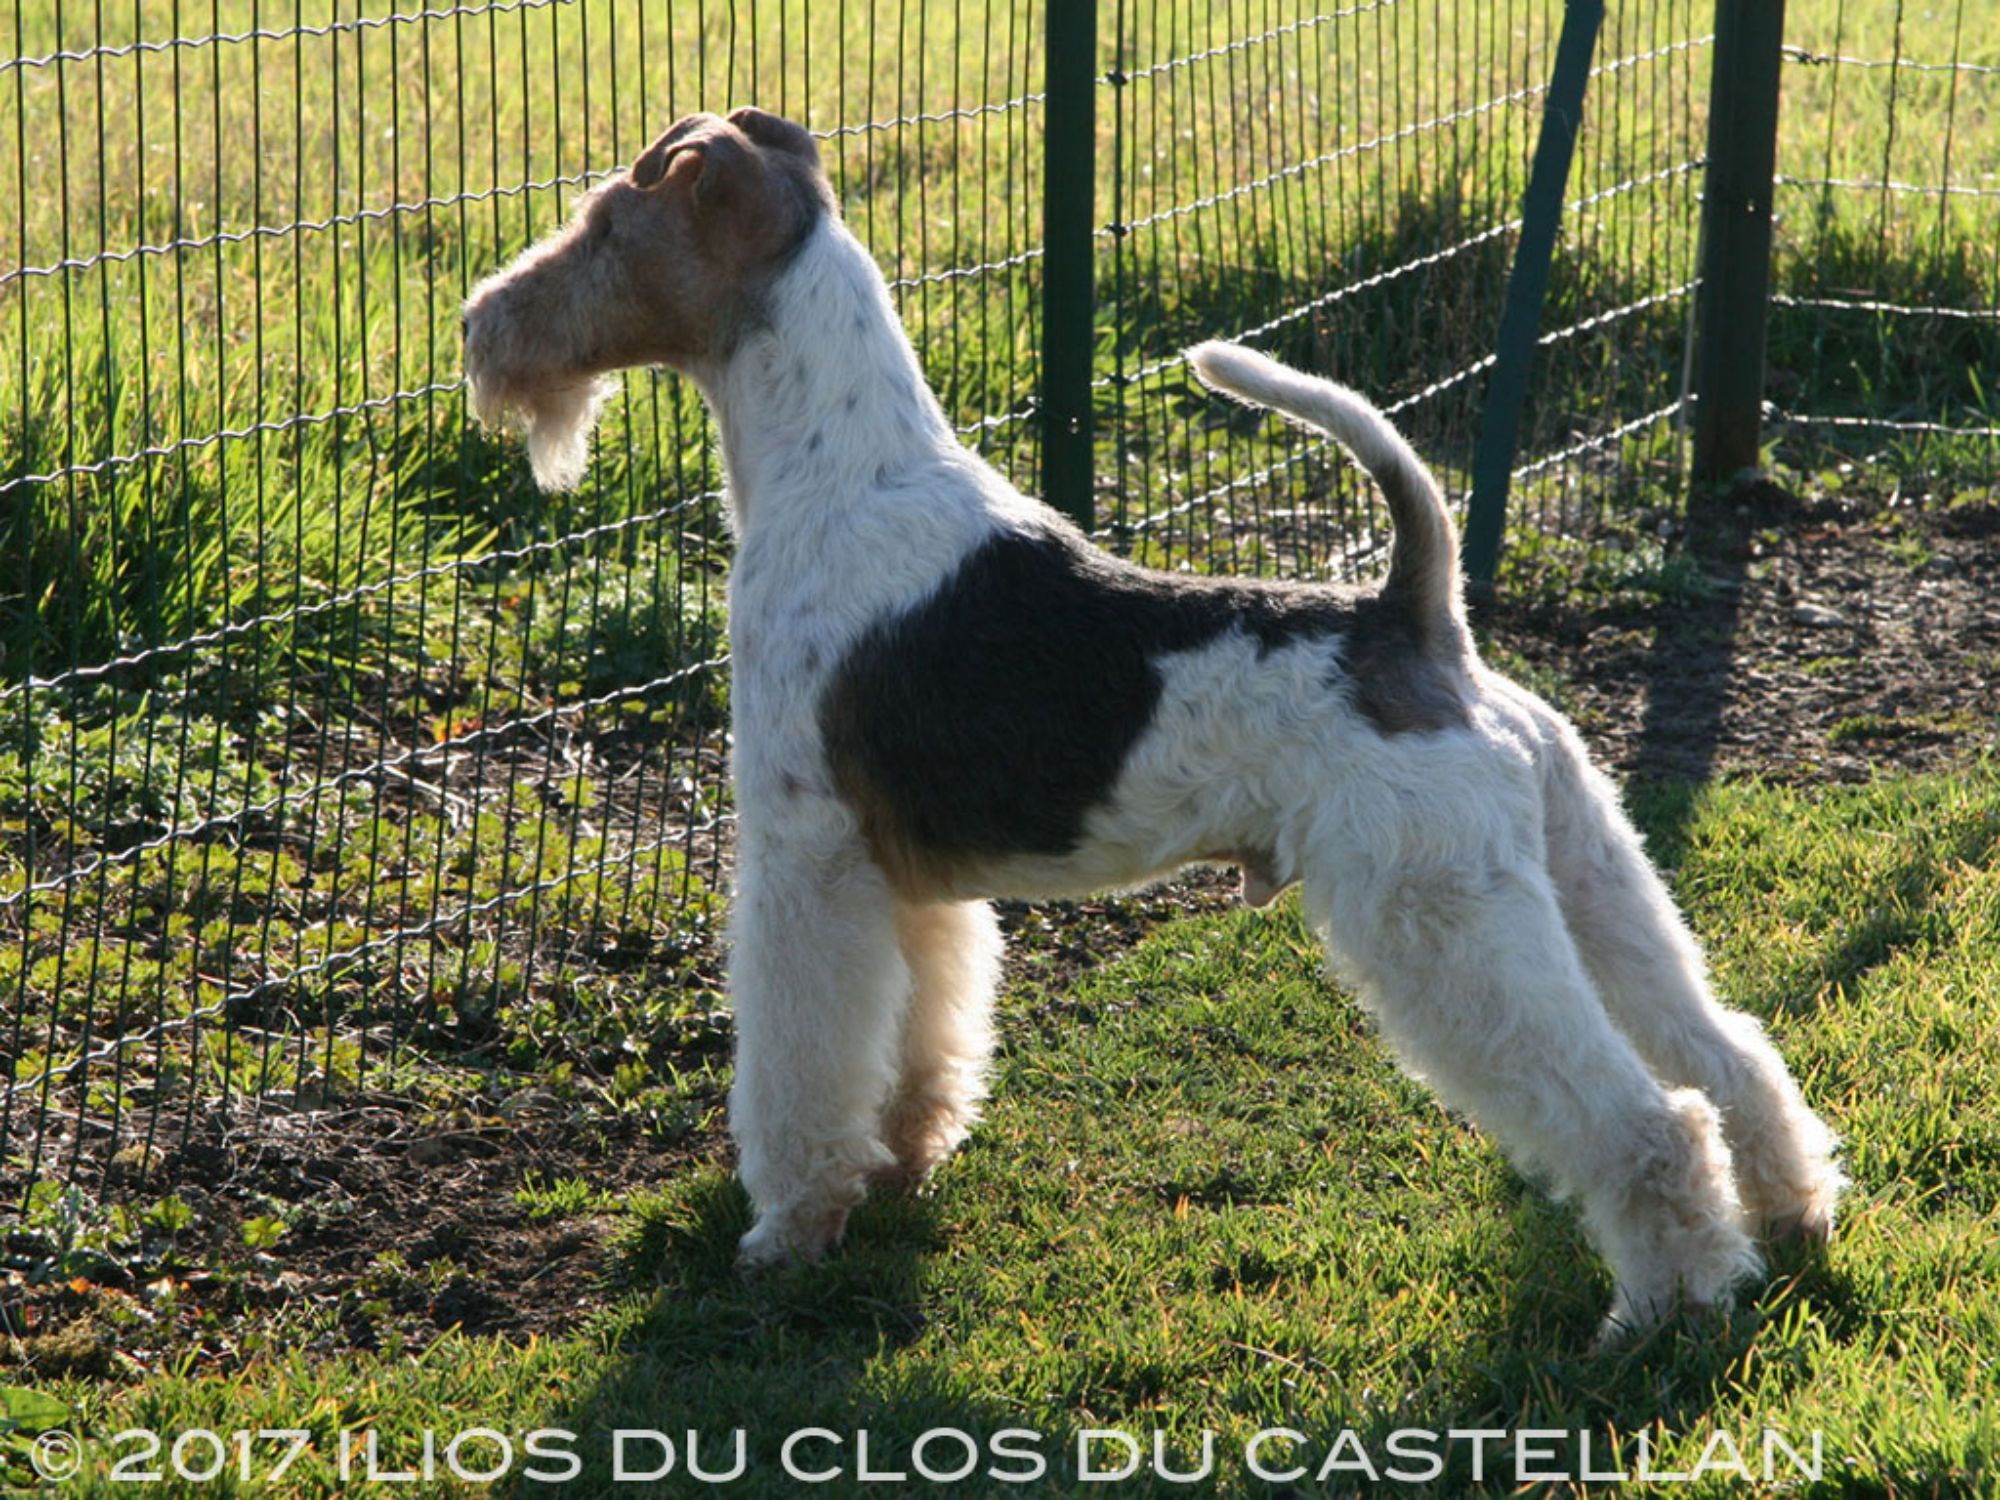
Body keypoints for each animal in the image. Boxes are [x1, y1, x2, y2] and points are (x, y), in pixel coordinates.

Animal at [463, 107, 1844, 1339]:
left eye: (605, 226)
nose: (480, 324)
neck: (836, 477)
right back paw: (1791, 1215)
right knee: (1724, 1051)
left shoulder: (806, 863)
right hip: (1580, 868)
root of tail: (1419, 621)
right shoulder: (904, 878)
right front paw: (904, 1162)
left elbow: (801, 1070)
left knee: (1647, 1118)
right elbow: (922, 1035)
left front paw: (788, 1233)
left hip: (1437, 912)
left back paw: (1662, 1311)